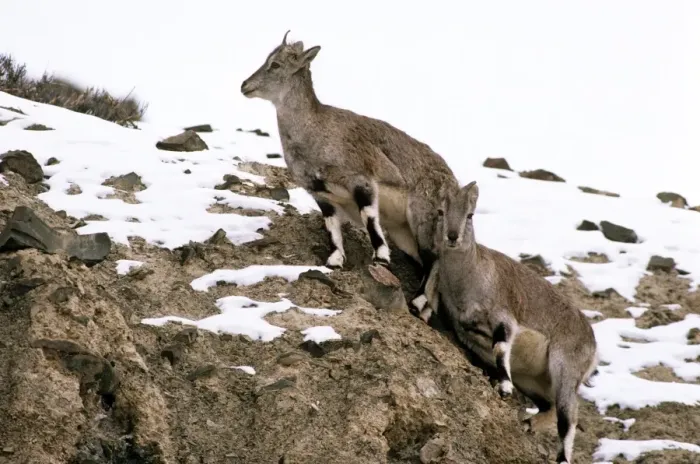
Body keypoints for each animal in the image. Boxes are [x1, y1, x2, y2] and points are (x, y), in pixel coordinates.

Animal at [240, 31, 458, 303]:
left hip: (423, 218)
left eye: (276, 64)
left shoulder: (361, 180)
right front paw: (335, 261)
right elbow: (332, 228)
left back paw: (418, 301)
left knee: (434, 260)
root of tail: (453, 181)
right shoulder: (321, 194)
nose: (245, 86)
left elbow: (369, 218)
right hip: (403, 232)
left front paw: (381, 258)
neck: (315, 132)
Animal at [432, 180, 598, 464]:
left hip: (565, 367)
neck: (470, 279)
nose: (452, 237)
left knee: (569, 415)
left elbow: (501, 347)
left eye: (470, 215)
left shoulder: (504, 316)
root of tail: (593, 343)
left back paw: (560, 454)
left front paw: (505, 388)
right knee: (550, 406)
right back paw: (527, 423)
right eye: (441, 211)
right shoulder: (467, 332)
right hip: (532, 380)